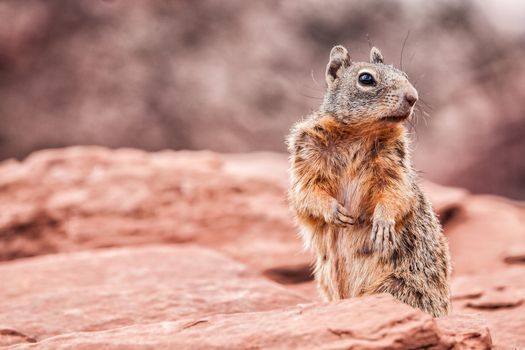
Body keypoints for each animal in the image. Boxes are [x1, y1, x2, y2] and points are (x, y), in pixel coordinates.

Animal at [286, 44, 450, 318]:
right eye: (366, 79)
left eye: (404, 74)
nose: (413, 97)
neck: (359, 134)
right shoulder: (306, 157)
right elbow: (307, 193)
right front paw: (335, 212)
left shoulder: (395, 166)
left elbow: (395, 194)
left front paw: (382, 224)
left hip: (395, 286)